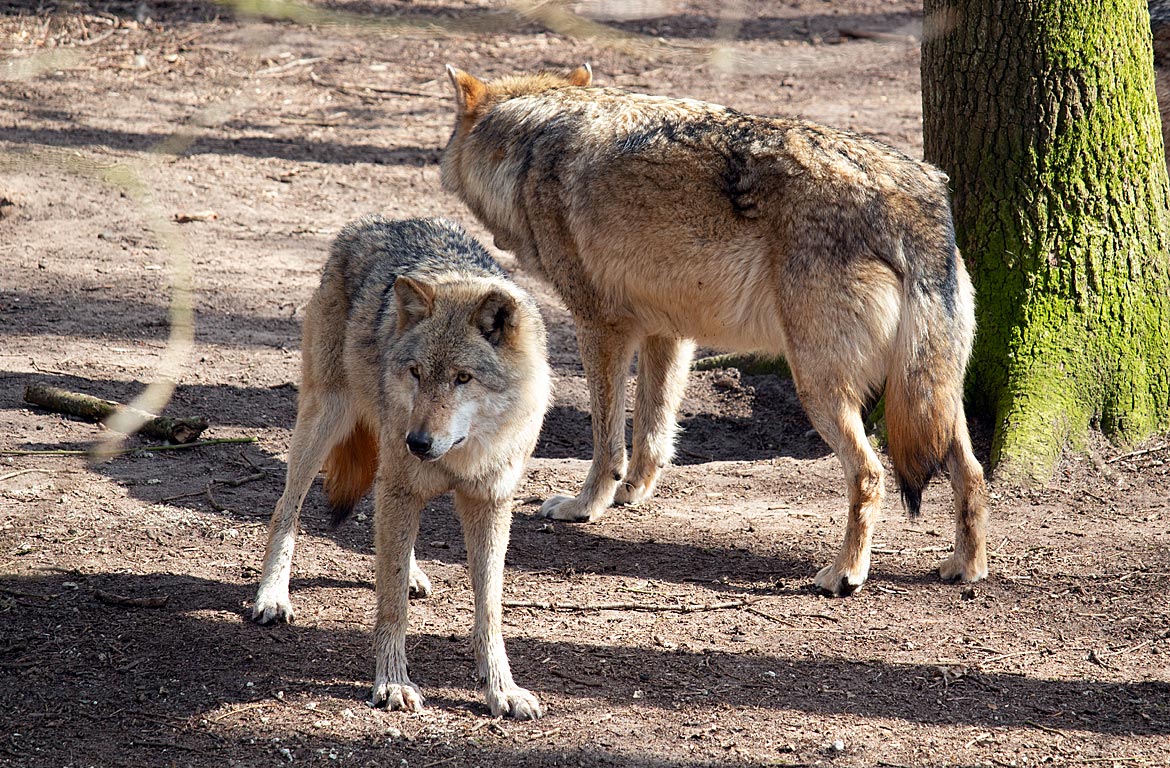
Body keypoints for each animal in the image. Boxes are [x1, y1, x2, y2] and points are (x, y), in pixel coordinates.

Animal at [251, 213, 552, 716]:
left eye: (463, 378)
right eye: (416, 372)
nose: (418, 442)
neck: (460, 456)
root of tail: (379, 221)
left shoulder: (489, 501)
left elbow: (488, 610)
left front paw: (501, 689)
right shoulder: (403, 482)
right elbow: (391, 607)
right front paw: (392, 682)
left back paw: (410, 571)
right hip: (325, 422)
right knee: (284, 510)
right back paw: (272, 596)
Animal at [439, 64, 987, 594]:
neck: (532, 146)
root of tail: (918, 197)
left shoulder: (598, 324)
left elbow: (606, 438)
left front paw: (586, 506)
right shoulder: (668, 332)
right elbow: (653, 428)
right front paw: (633, 492)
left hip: (820, 386)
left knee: (871, 474)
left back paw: (845, 574)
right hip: (934, 393)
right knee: (972, 471)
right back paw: (966, 566)